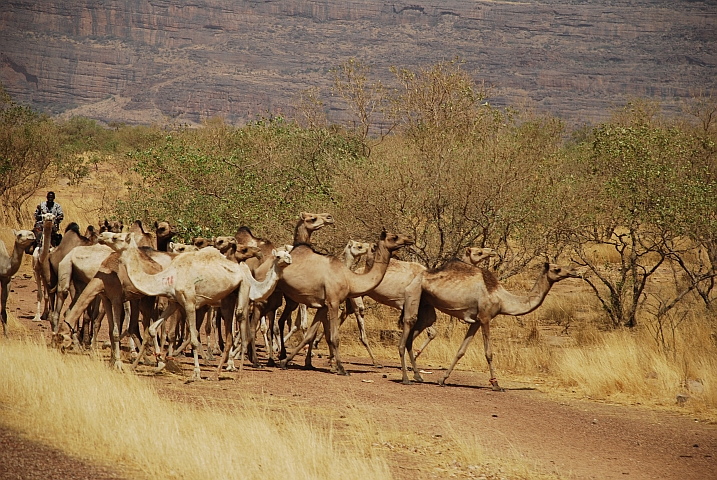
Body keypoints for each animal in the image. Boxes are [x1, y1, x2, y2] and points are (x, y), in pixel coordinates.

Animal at [99, 231, 290, 380]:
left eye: (116, 237)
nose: (101, 236)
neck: (167, 276)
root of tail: (244, 271)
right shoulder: (175, 301)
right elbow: (153, 329)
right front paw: (147, 365)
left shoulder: (190, 302)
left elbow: (193, 337)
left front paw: (196, 372)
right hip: (228, 299)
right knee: (231, 332)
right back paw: (216, 374)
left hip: (243, 292)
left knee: (243, 327)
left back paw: (239, 371)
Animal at [278, 230, 414, 376]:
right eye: (394, 237)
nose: (410, 238)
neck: (350, 279)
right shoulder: (333, 302)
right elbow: (334, 337)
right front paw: (341, 368)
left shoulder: (323, 305)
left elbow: (310, 335)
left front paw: (286, 362)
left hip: (290, 300)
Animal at [400, 260, 580, 388]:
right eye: (557, 269)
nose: (574, 271)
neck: (502, 300)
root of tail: (417, 277)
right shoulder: (486, 318)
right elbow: (489, 353)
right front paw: (496, 384)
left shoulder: (476, 321)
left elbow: (461, 350)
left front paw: (442, 380)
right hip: (413, 294)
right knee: (406, 330)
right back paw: (406, 378)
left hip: (425, 303)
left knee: (414, 334)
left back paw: (417, 376)